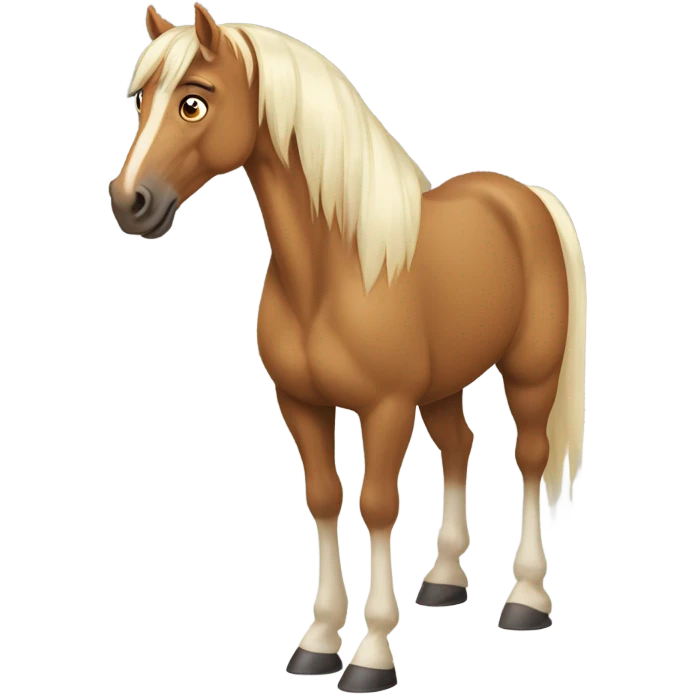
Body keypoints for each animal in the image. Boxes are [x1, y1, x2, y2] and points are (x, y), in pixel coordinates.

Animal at [109, 5, 587, 691]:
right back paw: (444, 581)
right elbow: (326, 499)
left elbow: (378, 506)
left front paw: (372, 654)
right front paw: (317, 642)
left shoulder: (386, 408)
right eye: (143, 98)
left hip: (530, 375)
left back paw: (525, 599)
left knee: (531, 456)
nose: (130, 202)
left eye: (193, 103)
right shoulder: (301, 405)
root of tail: (528, 198)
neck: (334, 270)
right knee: (459, 446)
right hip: (441, 387)